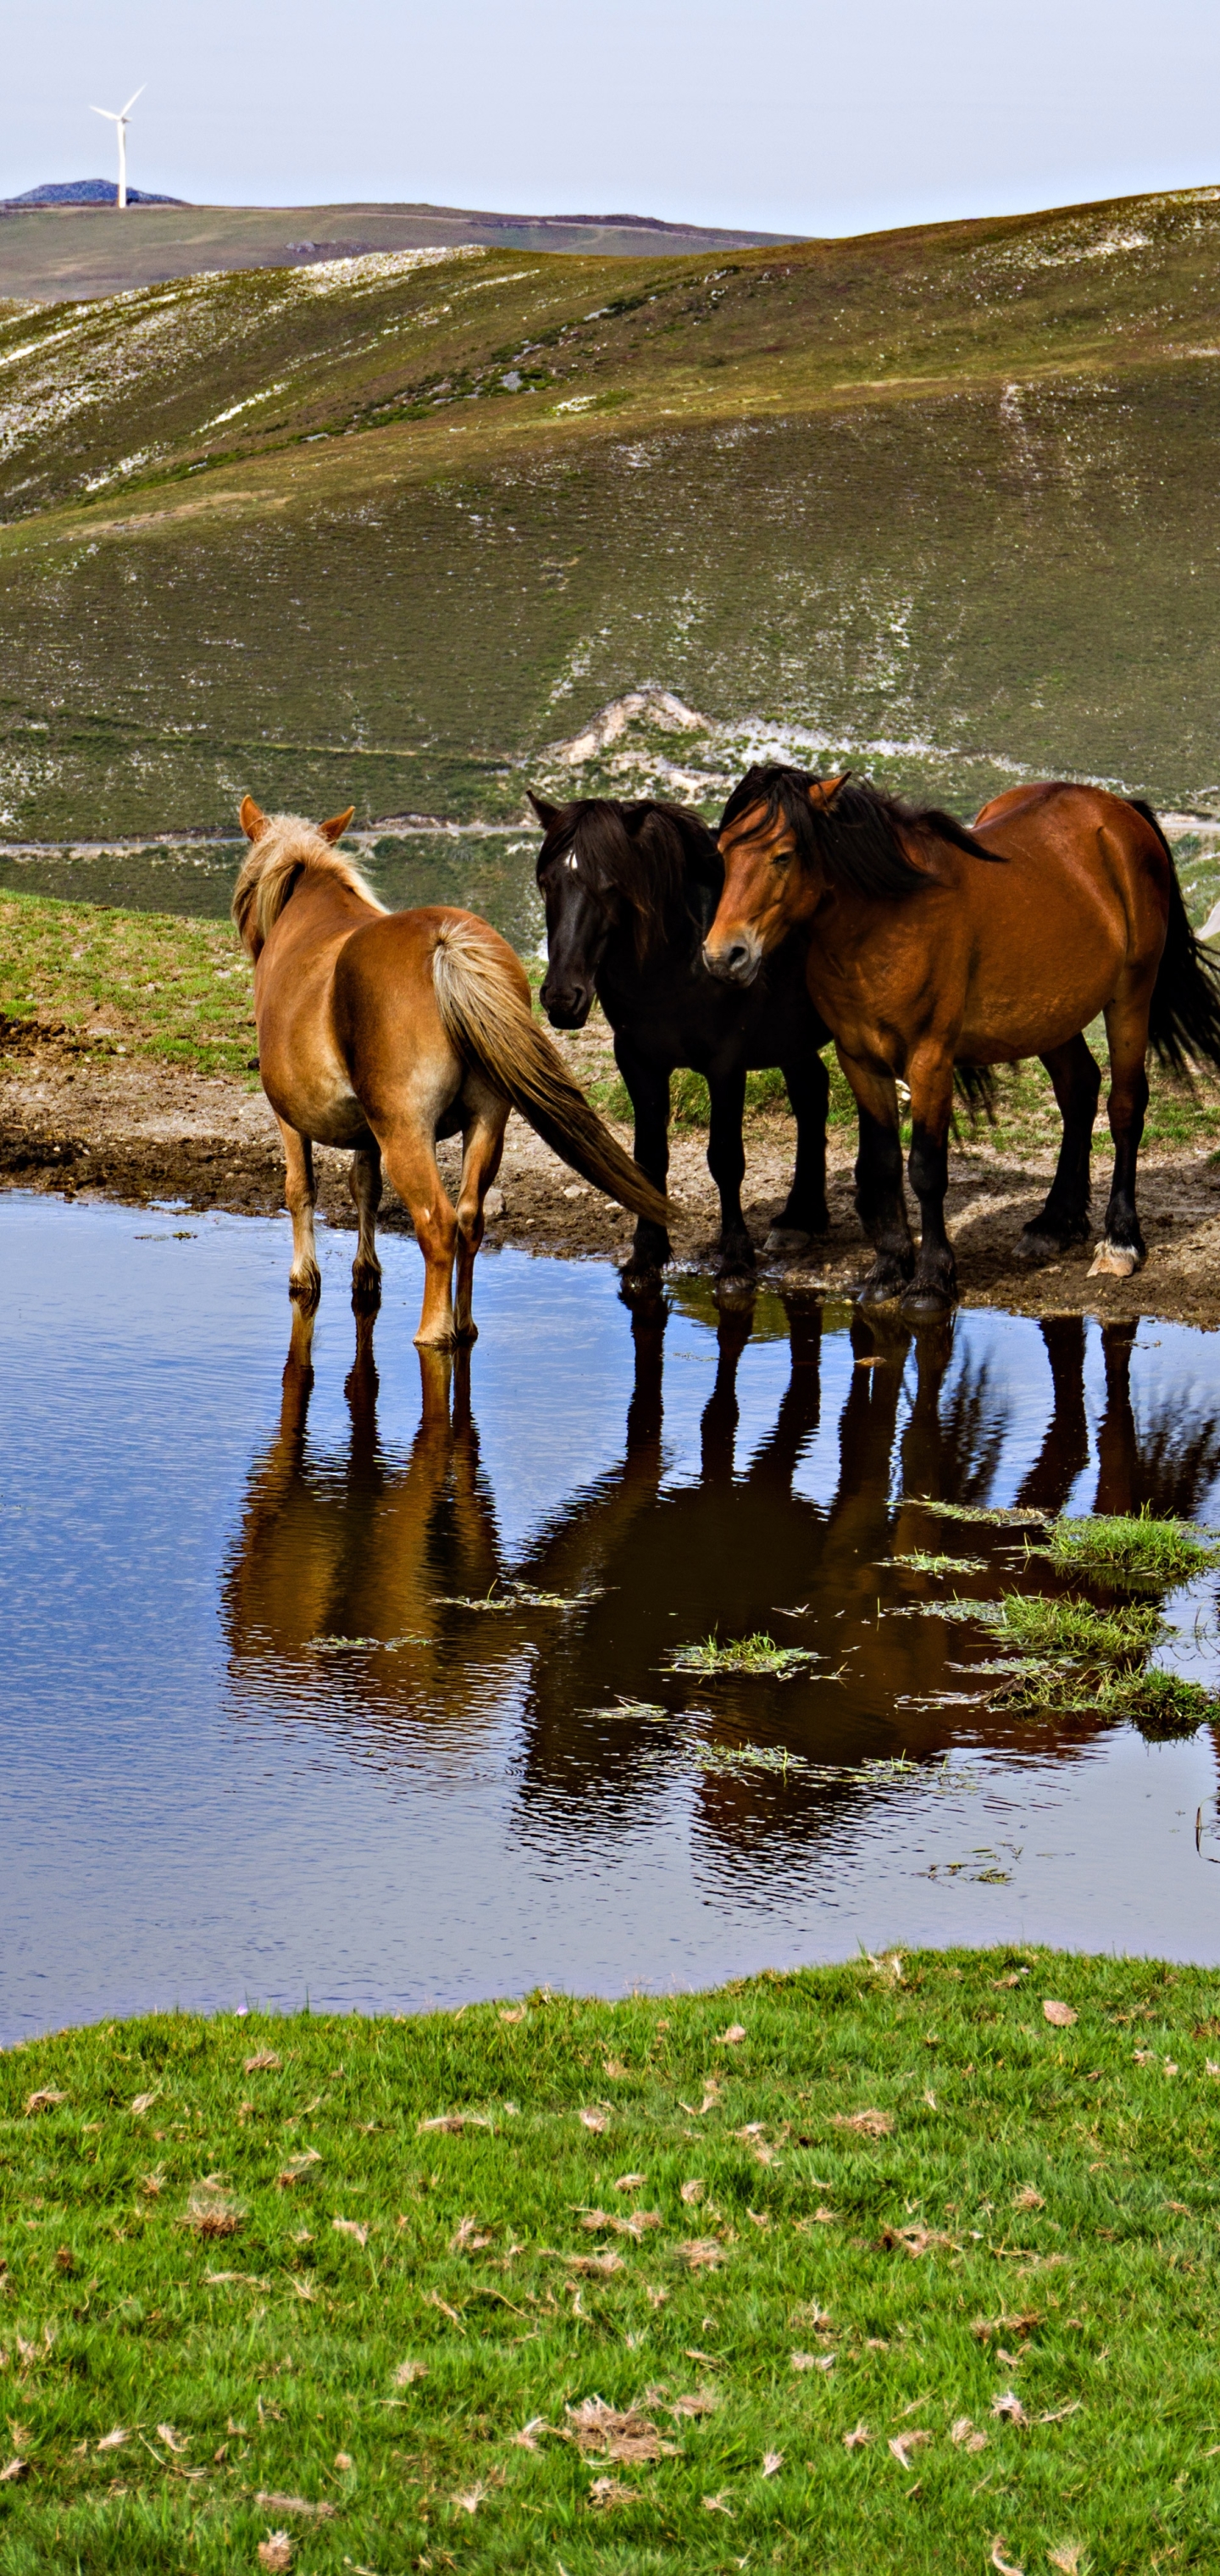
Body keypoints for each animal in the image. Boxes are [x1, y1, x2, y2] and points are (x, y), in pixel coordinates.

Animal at [232, 798, 674, 1349]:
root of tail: (444, 945)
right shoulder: (367, 1129)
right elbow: (364, 1187)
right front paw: (365, 1273)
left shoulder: (291, 1116)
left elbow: (300, 1190)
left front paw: (304, 1277)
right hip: (486, 1121)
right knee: (469, 1219)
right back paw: (462, 1322)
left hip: (407, 1133)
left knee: (438, 1223)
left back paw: (435, 1330)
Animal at [530, 783, 834, 1288]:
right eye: (546, 883)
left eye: (611, 885)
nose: (561, 997)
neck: (681, 956)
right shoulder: (637, 1060)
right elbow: (649, 1155)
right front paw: (646, 1254)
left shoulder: (726, 1062)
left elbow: (726, 1157)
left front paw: (735, 1261)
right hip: (793, 1039)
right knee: (812, 1095)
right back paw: (800, 1218)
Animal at [695, 762, 1220, 1319]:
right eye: (724, 852)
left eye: (783, 854)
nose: (723, 956)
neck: (888, 921)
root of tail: (1118, 811)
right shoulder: (860, 1060)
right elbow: (883, 1165)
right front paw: (887, 1271)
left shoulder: (930, 1060)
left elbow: (926, 1169)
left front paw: (930, 1280)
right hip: (1051, 1014)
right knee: (1079, 1090)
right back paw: (1054, 1224)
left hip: (1130, 996)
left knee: (1125, 1107)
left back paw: (1120, 1241)